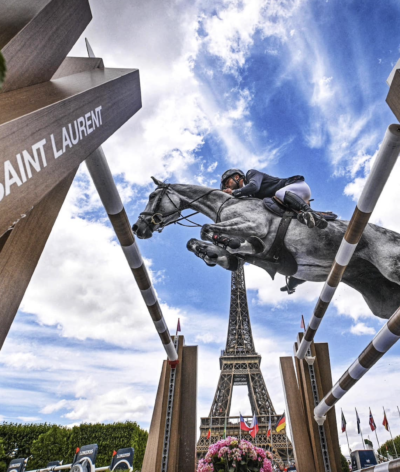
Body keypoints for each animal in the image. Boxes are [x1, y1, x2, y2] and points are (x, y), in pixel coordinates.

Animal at [132, 177, 400, 320]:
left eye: (153, 196)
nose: (137, 227)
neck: (225, 203)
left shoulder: (254, 224)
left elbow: (206, 229)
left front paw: (236, 243)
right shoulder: (241, 257)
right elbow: (209, 247)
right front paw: (209, 252)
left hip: (391, 267)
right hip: (383, 302)